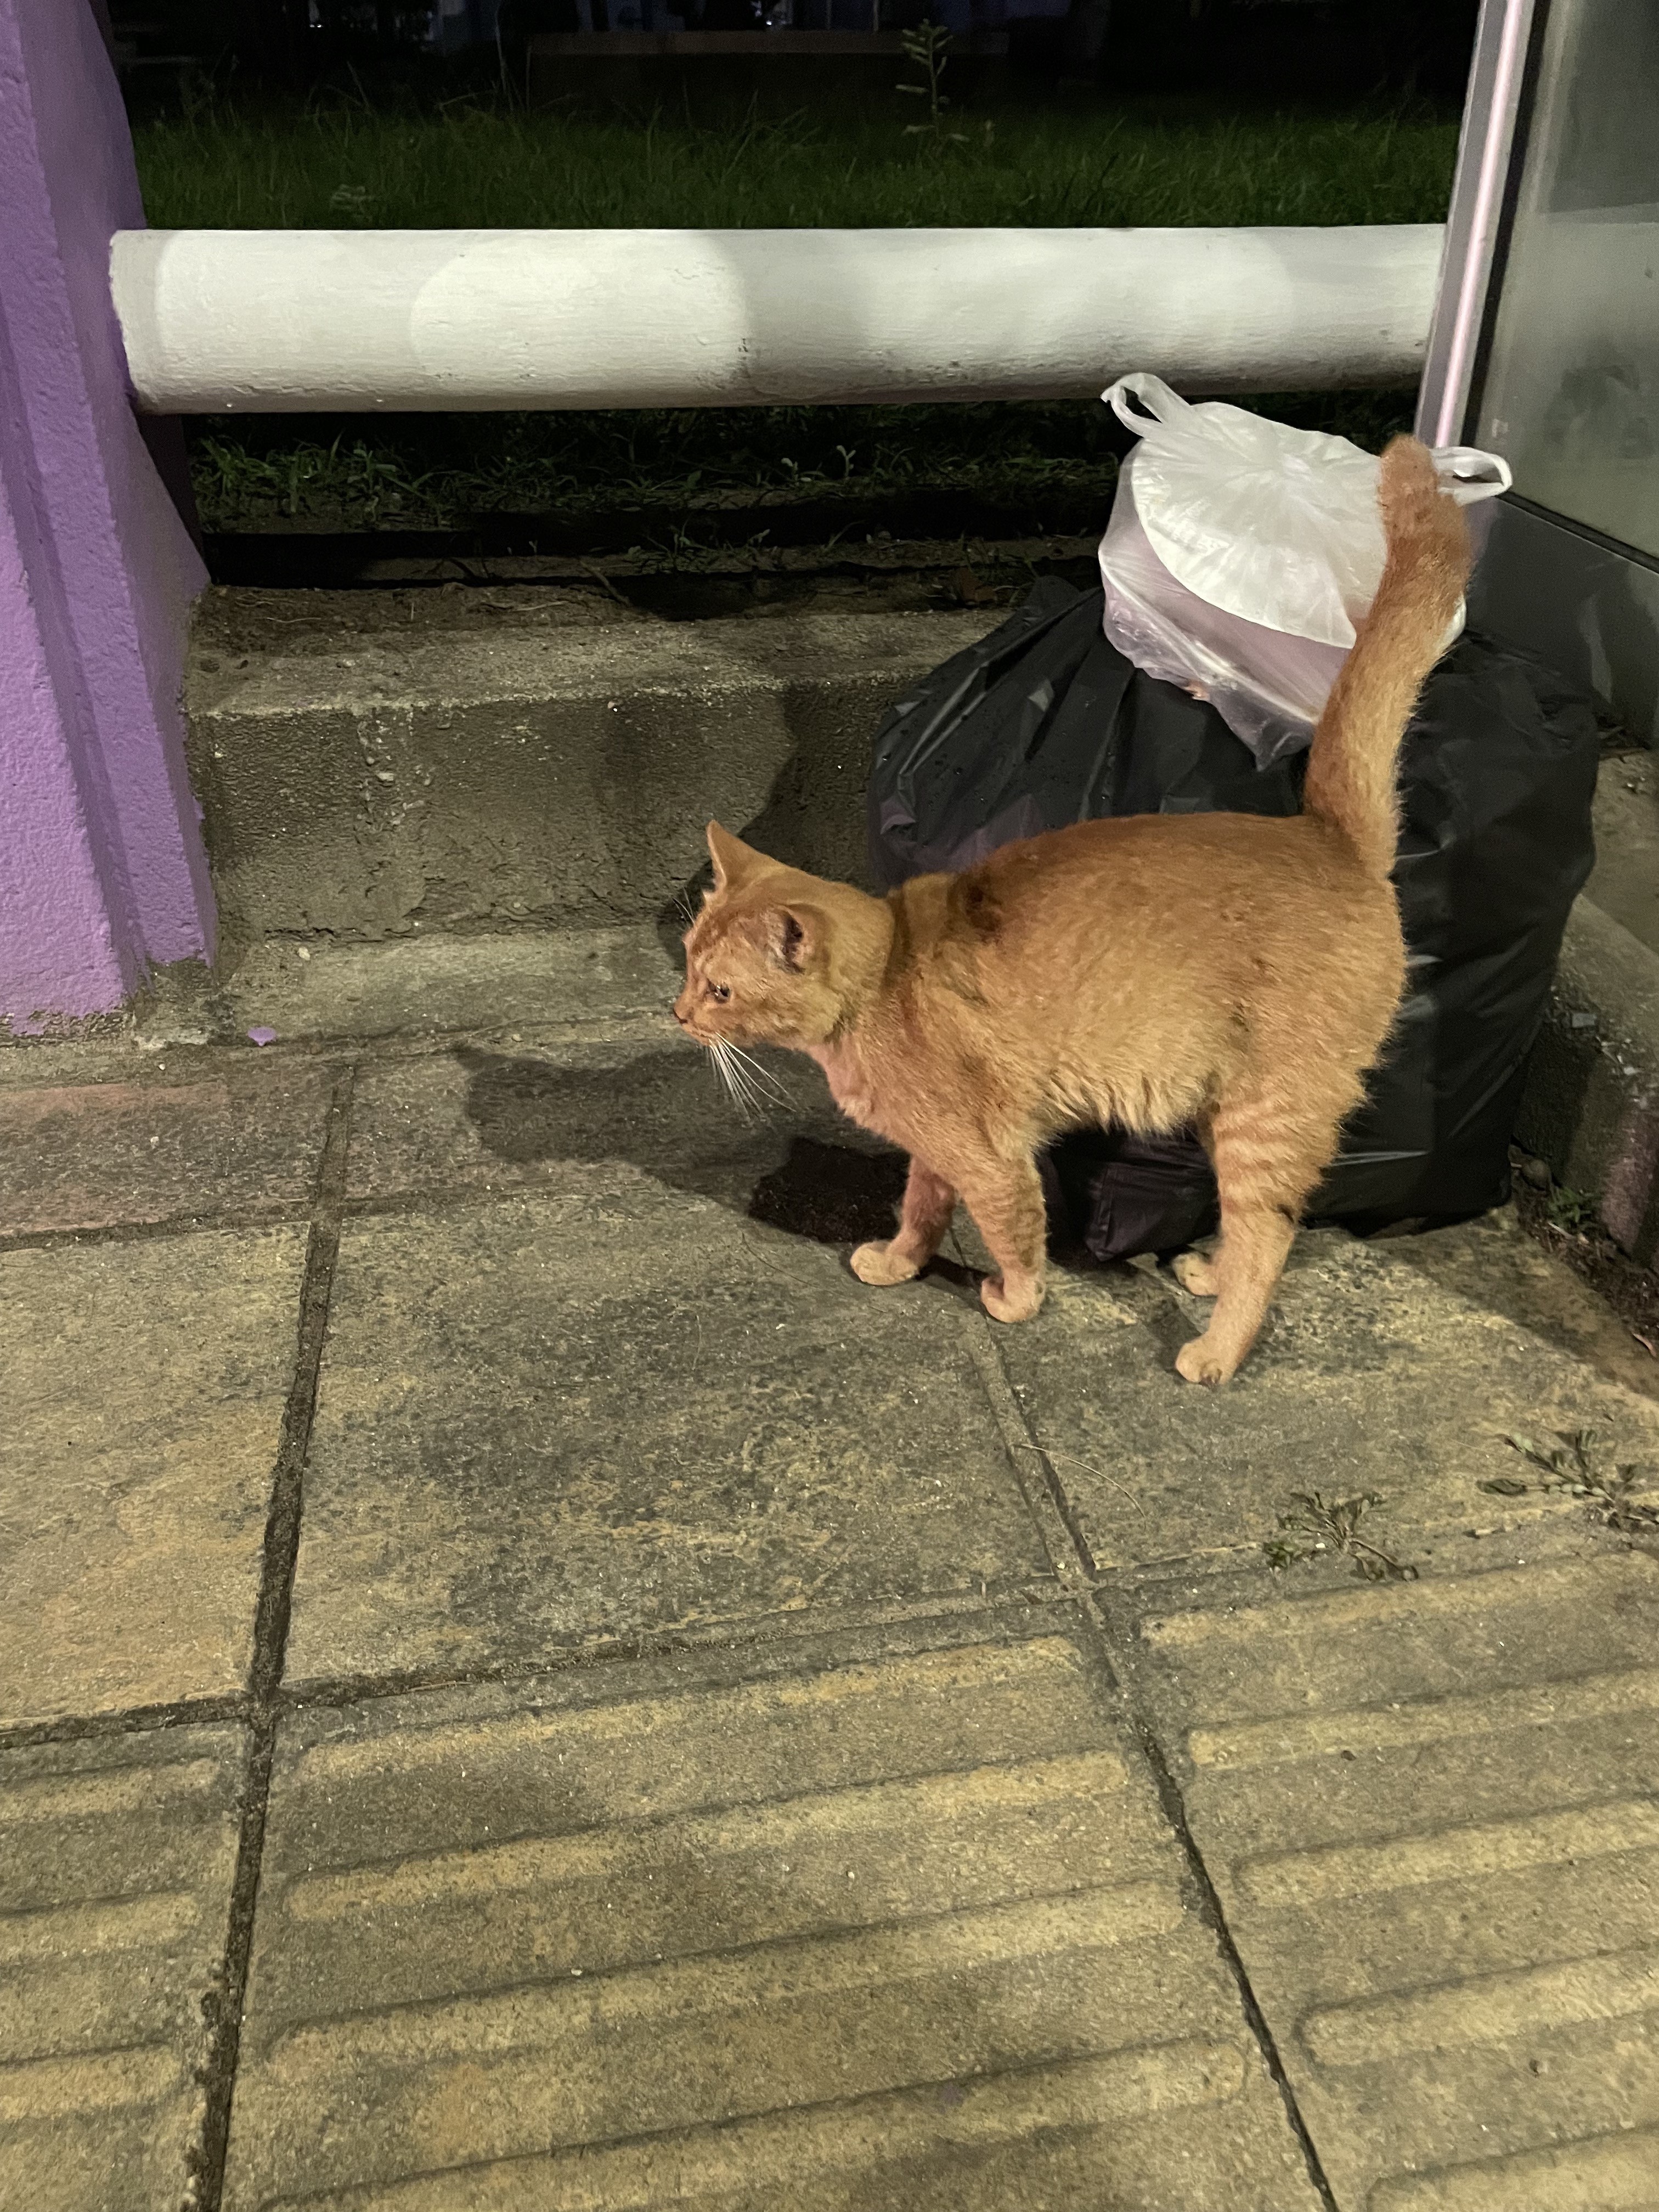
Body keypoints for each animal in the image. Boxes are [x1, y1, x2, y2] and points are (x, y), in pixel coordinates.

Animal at [681, 440, 1477, 1380]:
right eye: (688, 963)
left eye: (722, 991)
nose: (678, 1013)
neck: (882, 988)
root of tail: (1325, 833)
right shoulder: (940, 1151)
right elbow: (920, 1206)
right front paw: (900, 1262)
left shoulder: (993, 1158)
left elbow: (1015, 1236)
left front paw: (1011, 1303)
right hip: (1229, 1113)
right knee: (1254, 1229)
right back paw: (1207, 1275)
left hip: (1267, 1116)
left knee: (1270, 1240)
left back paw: (1215, 1352)